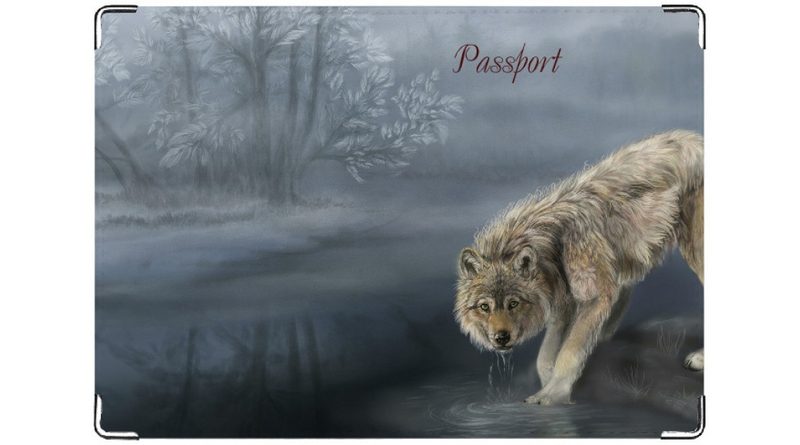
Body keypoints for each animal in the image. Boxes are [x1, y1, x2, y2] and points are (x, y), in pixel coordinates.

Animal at [454, 130, 703, 405]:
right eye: (484, 307)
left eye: (513, 303)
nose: (501, 338)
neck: (552, 246)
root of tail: (696, 140)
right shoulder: (563, 300)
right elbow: (545, 356)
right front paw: (547, 380)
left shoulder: (594, 296)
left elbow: (569, 351)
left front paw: (553, 394)